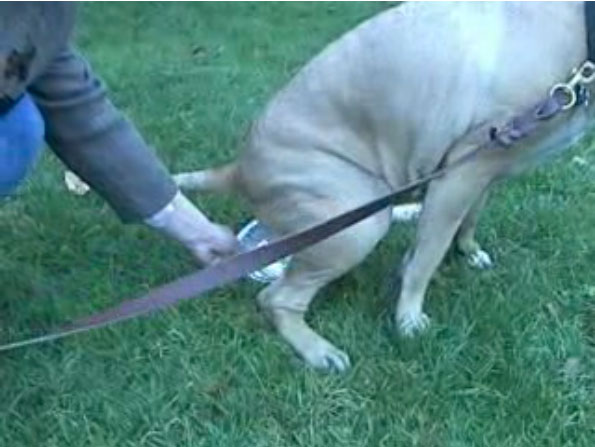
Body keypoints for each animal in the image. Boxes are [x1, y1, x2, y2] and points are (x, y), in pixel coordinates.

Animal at [175, 2, 592, 372]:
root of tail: (238, 169)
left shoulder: (485, 169)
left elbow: (466, 220)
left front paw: (467, 251)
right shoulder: (462, 170)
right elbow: (426, 258)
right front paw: (408, 319)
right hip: (356, 225)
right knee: (276, 298)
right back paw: (317, 350)